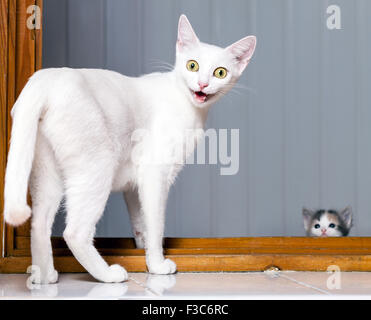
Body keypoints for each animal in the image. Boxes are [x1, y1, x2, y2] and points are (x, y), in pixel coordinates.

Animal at [2, 14, 258, 282]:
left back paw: (44, 275)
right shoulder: (155, 176)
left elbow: (141, 225)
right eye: (192, 66)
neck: (191, 108)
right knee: (74, 232)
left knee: (39, 224)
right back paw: (108, 274)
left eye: (220, 72)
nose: (203, 84)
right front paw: (157, 265)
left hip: (46, 173)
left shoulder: (134, 186)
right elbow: (155, 226)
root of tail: (45, 81)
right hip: (97, 167)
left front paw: (142, 251)